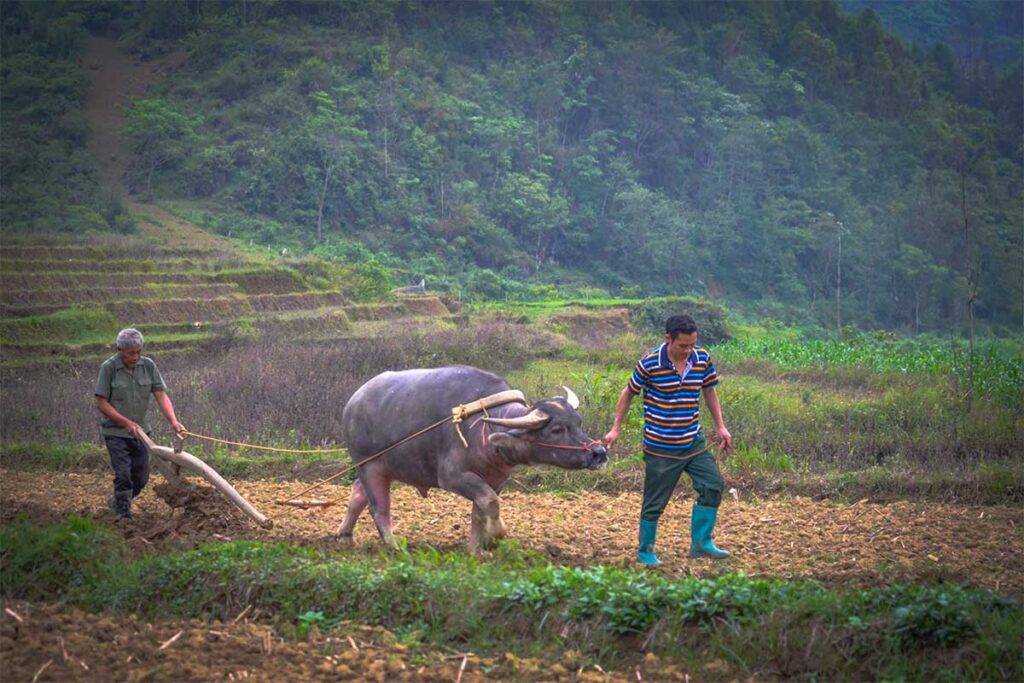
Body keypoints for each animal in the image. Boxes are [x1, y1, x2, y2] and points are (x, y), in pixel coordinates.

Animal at [338, 365, 608, 551]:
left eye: (579, 422)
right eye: (556, 429)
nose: (599, 453)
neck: (486, 431)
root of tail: (352, 402)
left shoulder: (494, 480)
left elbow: (481, 510)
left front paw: (477, 549)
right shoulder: (452, 477)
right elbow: (490, 502)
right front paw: (496, 535)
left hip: (382, 468)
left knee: (358, 493)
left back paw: (345, 536)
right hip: (369, 465)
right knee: (378, 507)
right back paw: (395, 546)